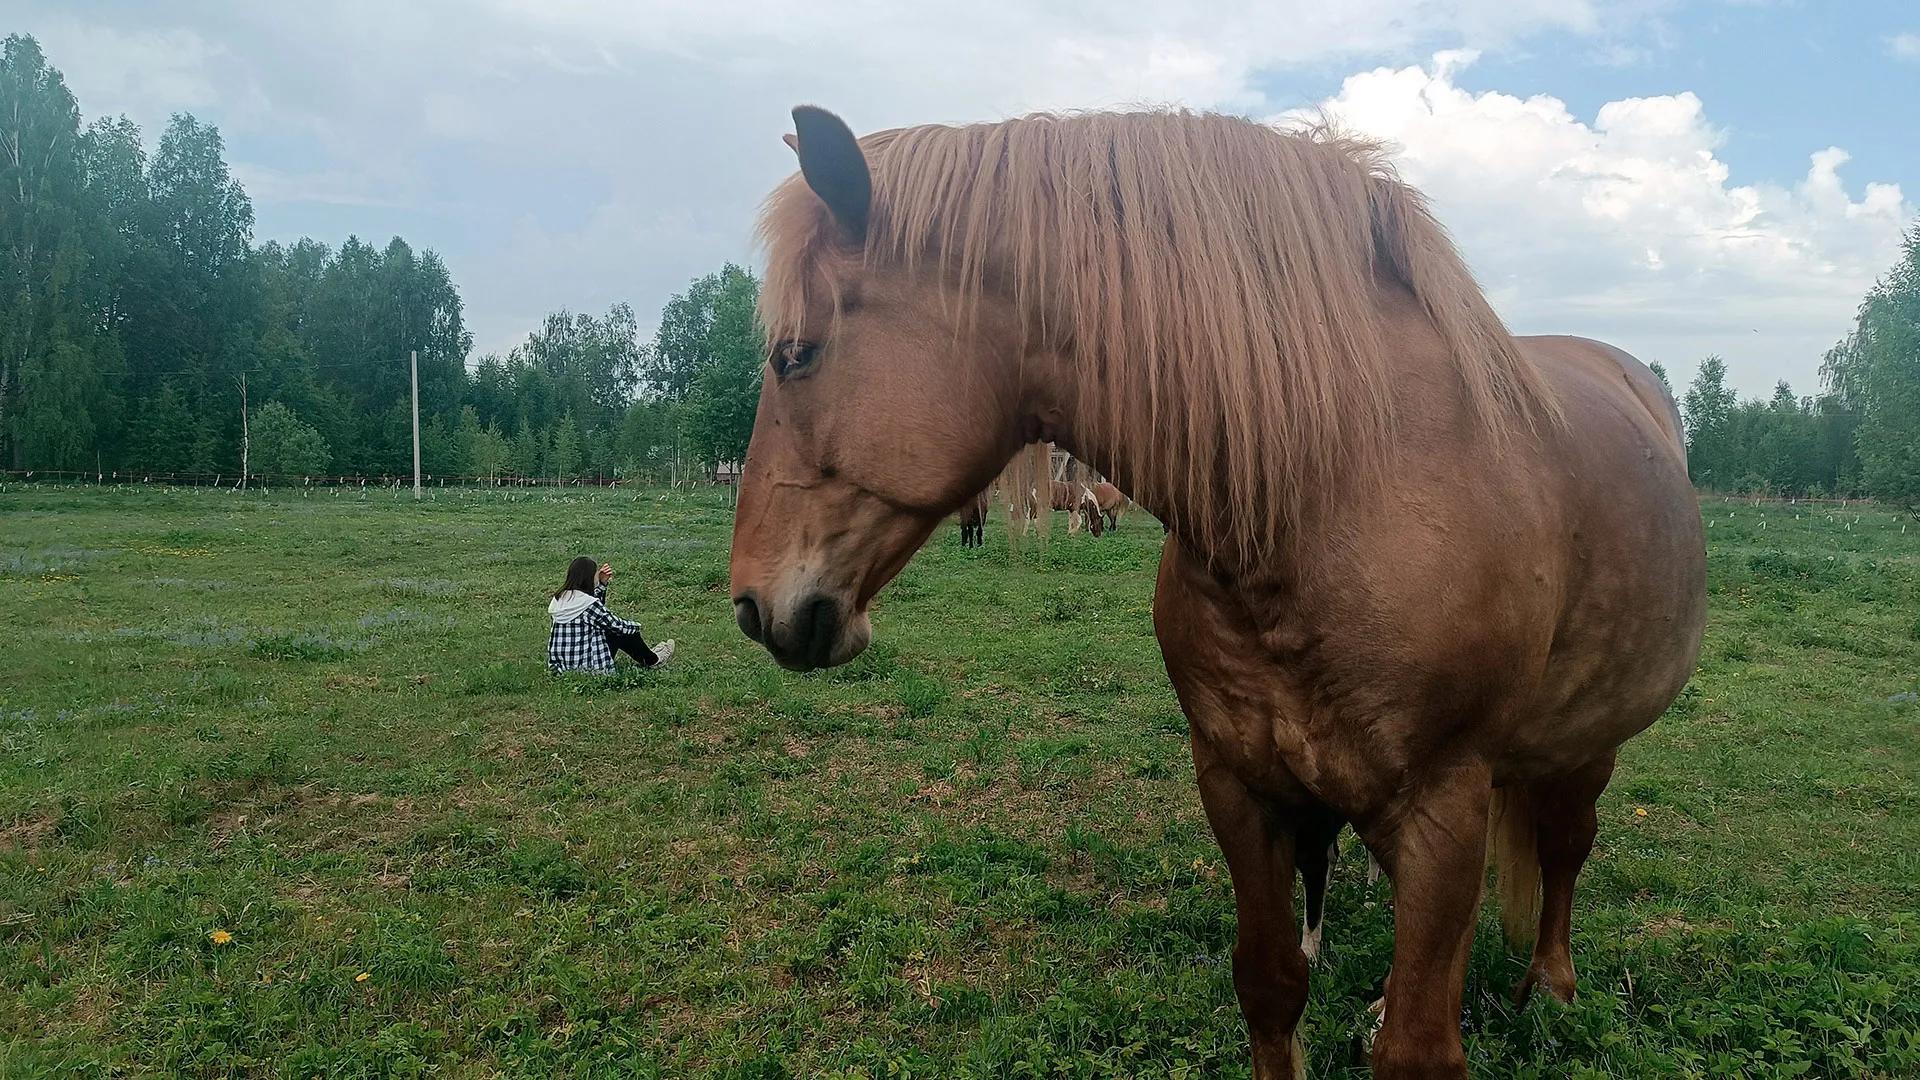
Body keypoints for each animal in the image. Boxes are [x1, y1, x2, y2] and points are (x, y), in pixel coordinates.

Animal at [729, 106, 1705, 1079]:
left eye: (795, 355)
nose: (749, 604)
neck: (1335, 491)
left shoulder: (1445, 804)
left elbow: (1418, 1046)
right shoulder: (1240, 783)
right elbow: (1270, 986)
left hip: (1587, 745)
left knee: (1567, 847)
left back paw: (1552, 984)